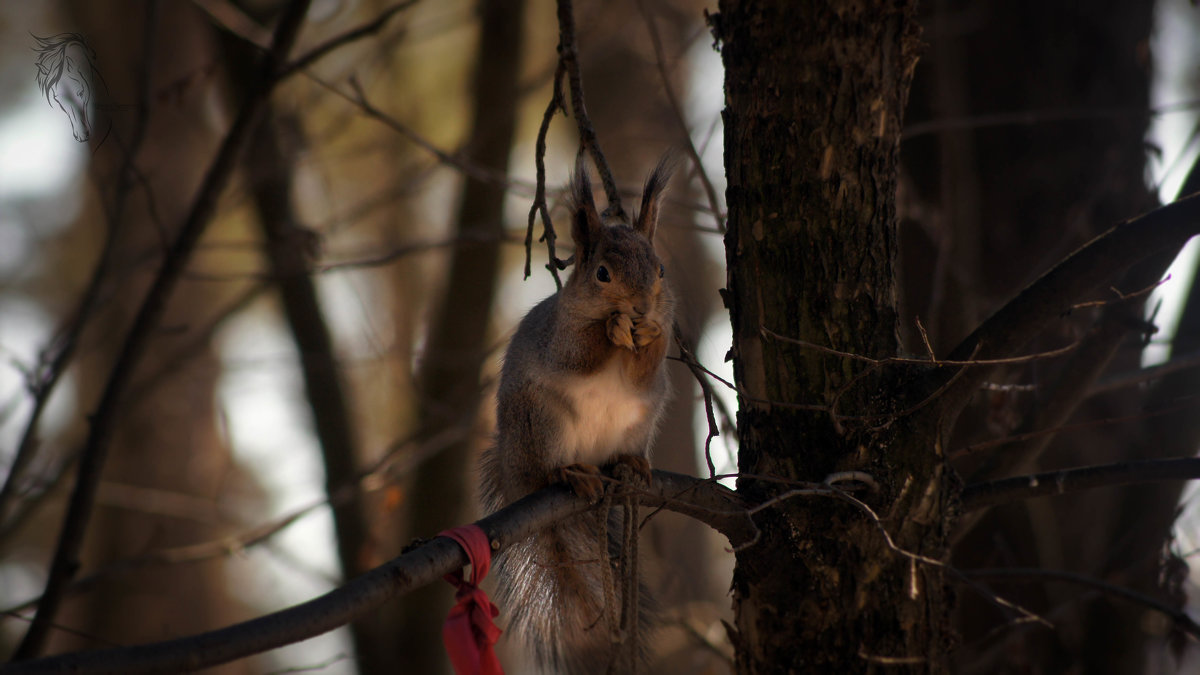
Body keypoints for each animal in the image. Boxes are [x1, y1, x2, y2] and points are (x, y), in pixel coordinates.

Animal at [484, 158, 676, 672]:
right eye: (602, 273)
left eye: (661, 269)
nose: (641, 306)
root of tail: (515, 476)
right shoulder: (561, 338)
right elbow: (580, 353)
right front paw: (612, 327)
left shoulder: (648, 376)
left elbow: (646, 366)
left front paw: (651, 332)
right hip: (542, 422)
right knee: (548, 466)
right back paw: (572, 473)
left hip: (641, 420)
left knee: (625, 450)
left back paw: (629, 463)